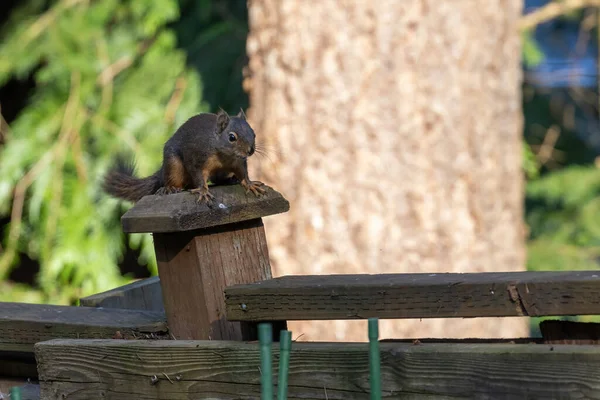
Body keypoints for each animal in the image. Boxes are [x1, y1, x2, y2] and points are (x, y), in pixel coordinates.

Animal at [102, 108, 264, 205]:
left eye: (253, 133)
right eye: (232, 137)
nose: (250, 150)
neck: (225, 156)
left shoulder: (238, 163)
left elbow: (244, 174)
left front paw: (250, 184)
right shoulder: (196, 157)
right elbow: (198, 175)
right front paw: (203, 190)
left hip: (221, 173)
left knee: (218, 180)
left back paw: (231, 180)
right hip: (173, 166)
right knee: (173, 181)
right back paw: (170, 189)